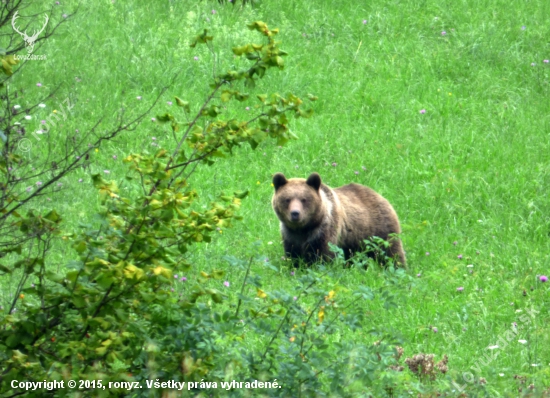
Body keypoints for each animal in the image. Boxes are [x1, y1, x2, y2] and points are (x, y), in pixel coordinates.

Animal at [272, 173, 406, 266]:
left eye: (304, 199)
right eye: (287, 199)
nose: (295, 213)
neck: (304, 228)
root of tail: (380, 195)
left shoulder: (324, 230)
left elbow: (324, 256)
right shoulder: (290, 235)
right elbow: (292, 255)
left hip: (380, 230)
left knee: (392, 253)